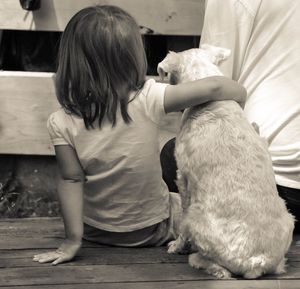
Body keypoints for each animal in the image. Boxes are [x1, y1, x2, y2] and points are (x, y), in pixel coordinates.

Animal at [158, 45, 294, 280]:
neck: (211, 103)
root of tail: (256, 261)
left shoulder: (182, 177)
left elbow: (182, 220)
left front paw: (177, 246)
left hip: (196, 216)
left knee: (219, 268)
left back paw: (196, 259)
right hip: (290, 219)